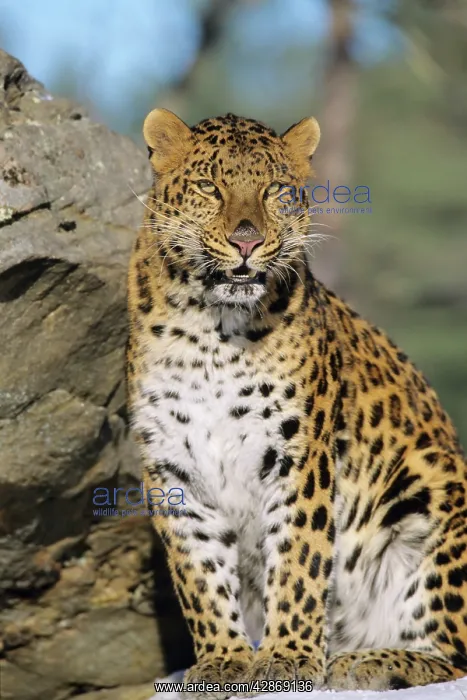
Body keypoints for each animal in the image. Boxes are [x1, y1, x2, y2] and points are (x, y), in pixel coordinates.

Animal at [126, 108, 467, 698]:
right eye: (210, 187)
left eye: (275, 191)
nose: (246, 241)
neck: (210, 332)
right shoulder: (172, 466)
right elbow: (199, 573)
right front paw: (222, 660)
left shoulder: (300, 454)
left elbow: (299, 559)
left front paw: (286, 658)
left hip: (436, 484)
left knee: (455, 655)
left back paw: (367, 662)